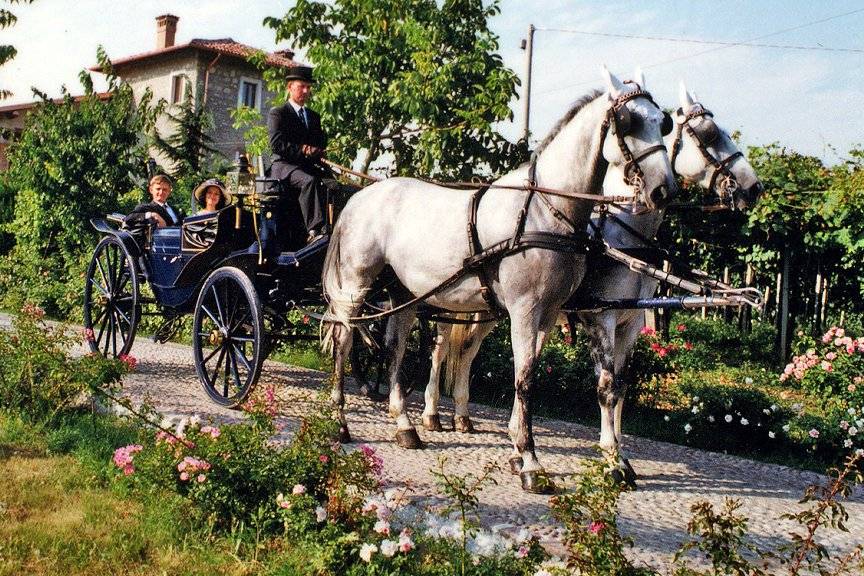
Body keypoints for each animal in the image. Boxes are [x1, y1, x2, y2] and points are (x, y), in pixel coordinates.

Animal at [320, 67, 680, 490]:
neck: (544, 210)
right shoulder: (530, 310)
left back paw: (405, 426)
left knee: (394, 349)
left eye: (662, 122)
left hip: (404, 292)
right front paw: (531, 462)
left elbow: (534, 375)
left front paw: (526, 453)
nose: (664, 189)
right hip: (355, 285)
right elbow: (525, 380)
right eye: (628, 122)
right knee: (344, 340)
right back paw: (340, 420)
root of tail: (360, 197)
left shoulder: (548, 314)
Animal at [424, 77, 764, 482]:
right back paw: (431, 413)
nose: (754, 187)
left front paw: (616, 452)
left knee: (467, 351)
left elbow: (620, 385)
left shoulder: (631, 320)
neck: (622, 233)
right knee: (441, 348)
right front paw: (611, 458)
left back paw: (461, 415)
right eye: (708, 134)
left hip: (488, 308)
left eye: (665, 124)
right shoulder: (599, 316)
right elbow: (604, 386)